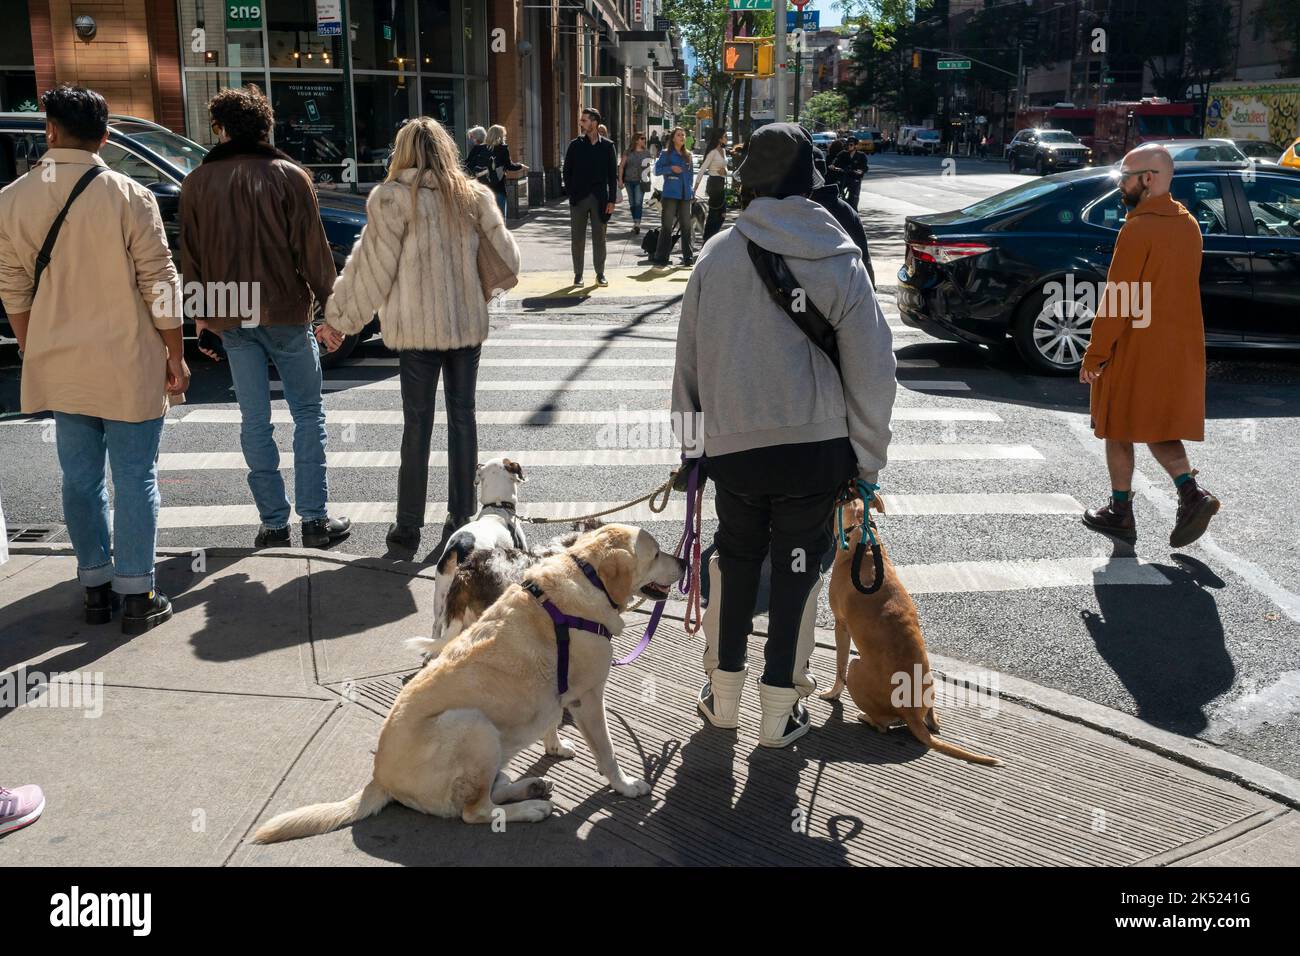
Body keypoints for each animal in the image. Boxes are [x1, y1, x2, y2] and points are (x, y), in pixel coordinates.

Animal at [246, 522, 686, 842]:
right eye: (656, 552)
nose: (684, 561)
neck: (586, 575)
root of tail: (378, 779)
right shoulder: (589, 697)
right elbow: (607, 752)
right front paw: (627, 786)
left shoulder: (555, 692)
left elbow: (550, 721)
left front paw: (555, 746)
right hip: (473, 726)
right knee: (474, 811)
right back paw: (530, 808)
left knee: (488, 791)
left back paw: (528, 787)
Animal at [821, 496, 993, 764]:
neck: (862, 535)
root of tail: (911, 712)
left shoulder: (840, 625)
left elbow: (839, 670)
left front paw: (832, 694)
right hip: (929, 685)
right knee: (932, 718)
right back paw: (931, 720)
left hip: (856, 667)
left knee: (882, 725)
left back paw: (867, 718)